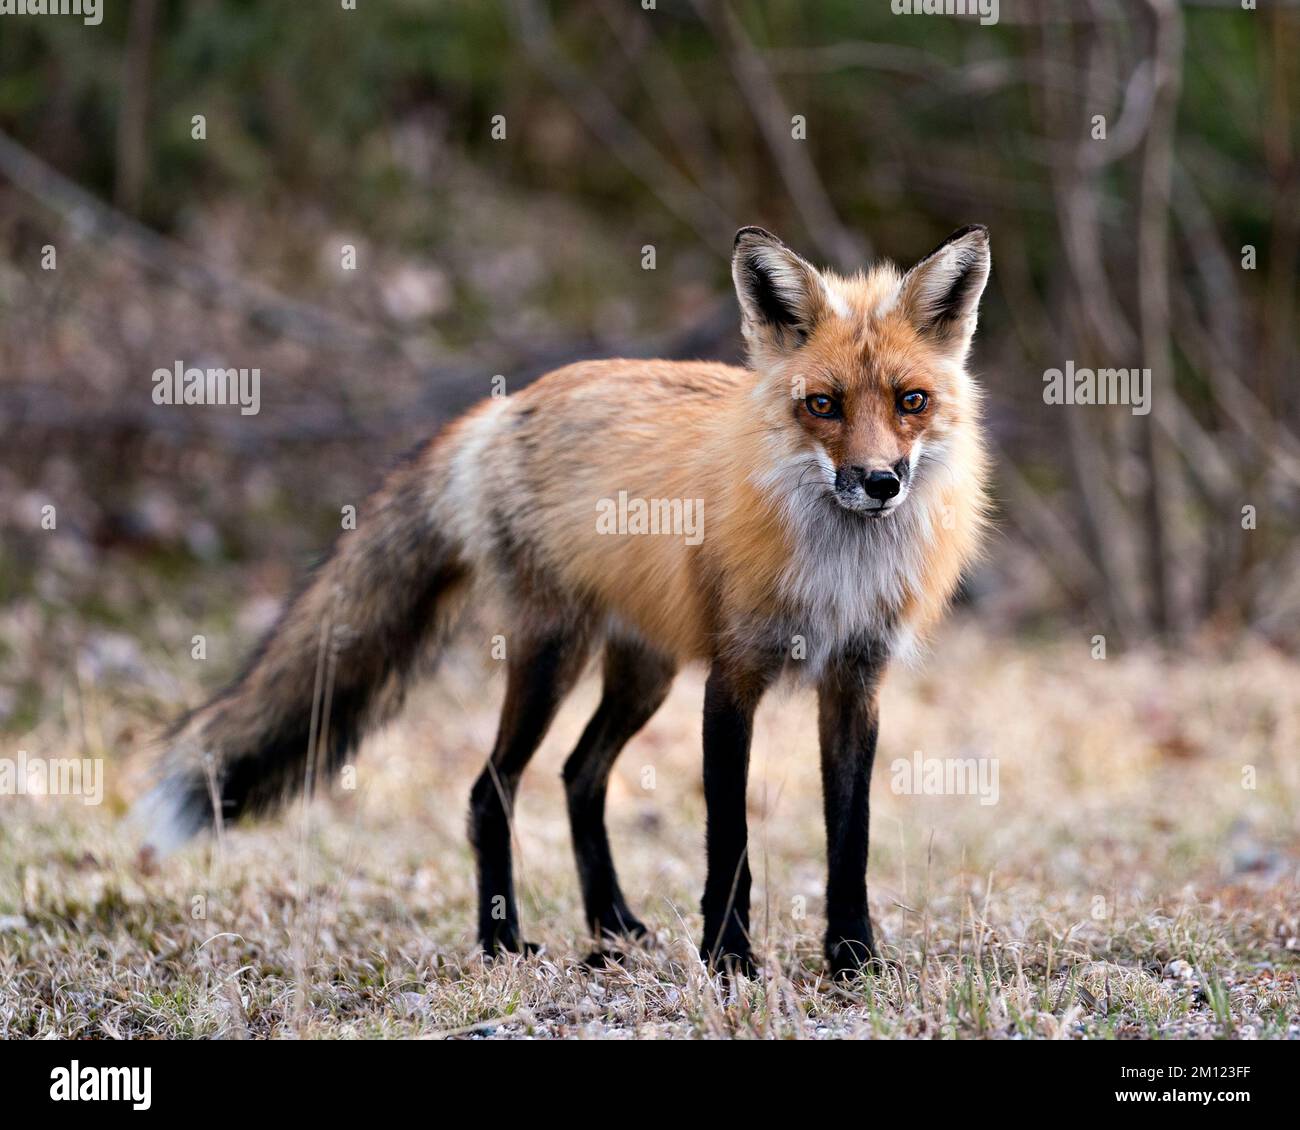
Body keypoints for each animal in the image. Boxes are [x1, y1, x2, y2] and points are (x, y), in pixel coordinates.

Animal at [139, 224, 992, 978]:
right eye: (823, 405)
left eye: (911, 401)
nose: (879, 483)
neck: (839, 568)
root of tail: (504, 405)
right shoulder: (733, 678)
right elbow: (730, 840)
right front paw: (729, 960)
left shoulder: (854, 682)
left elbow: (850, 841)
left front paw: (853, 960)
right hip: (553, 654)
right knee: (491, 791)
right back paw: (502, 941)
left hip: (642, 673)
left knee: (580, 775)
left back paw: (611, 925)